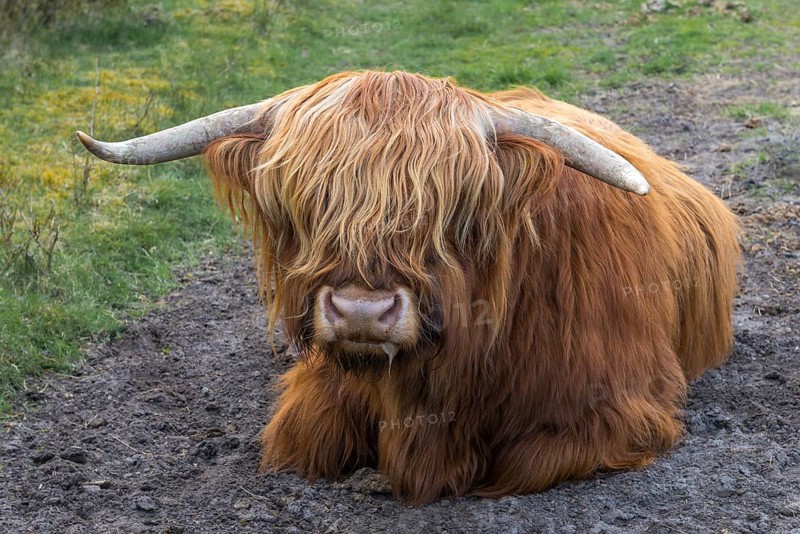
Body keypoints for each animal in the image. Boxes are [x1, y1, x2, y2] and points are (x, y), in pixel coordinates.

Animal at [77, 70, 740, 504]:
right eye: (305, 203)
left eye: (452, 208)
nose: (361, 312)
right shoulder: (316, 396)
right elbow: (301, 442)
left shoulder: (616, 411)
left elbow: (521, 463)